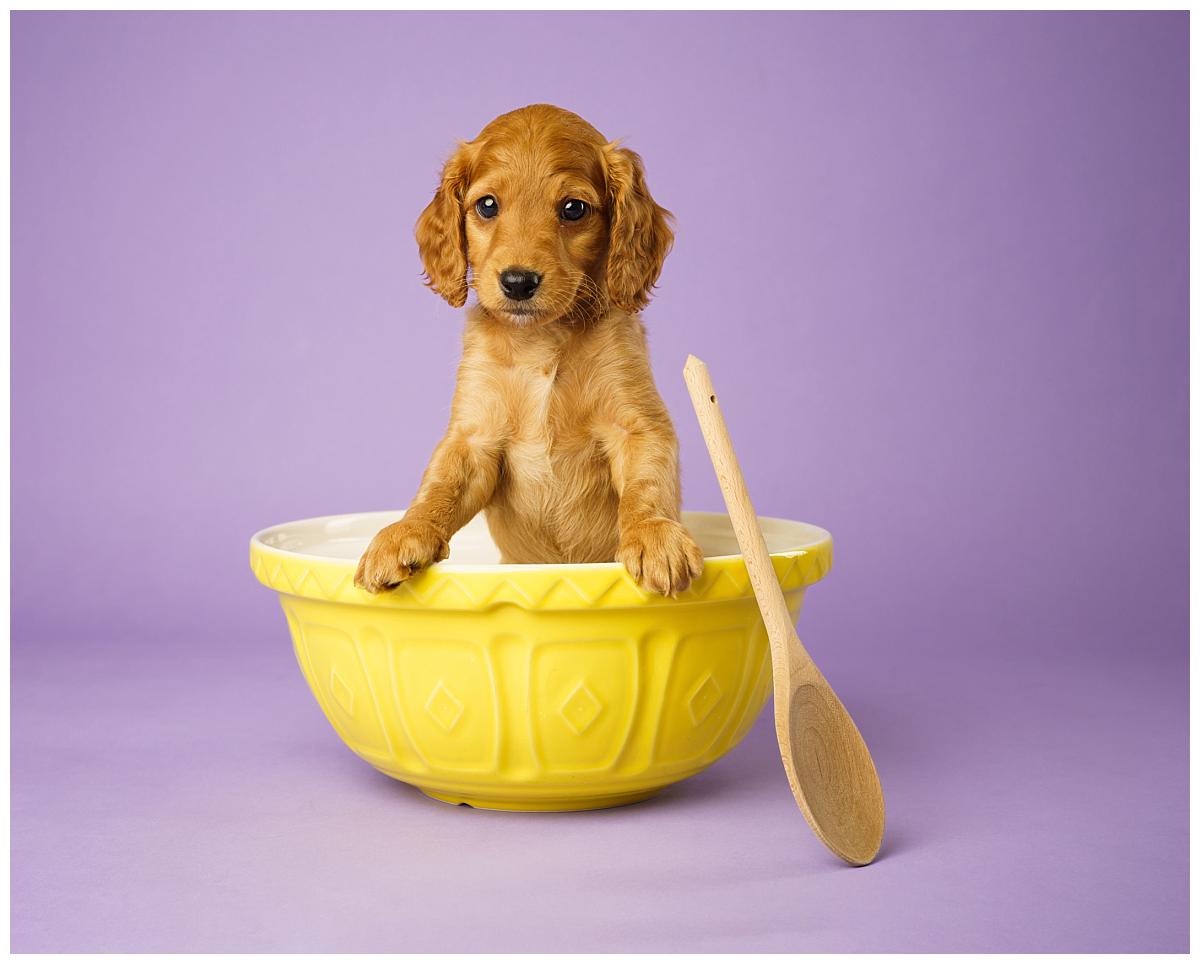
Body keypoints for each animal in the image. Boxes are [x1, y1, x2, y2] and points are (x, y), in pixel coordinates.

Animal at [350, 109, 700, 600]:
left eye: (573, 209)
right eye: (487, 205)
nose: (518, 282)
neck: (542, 340)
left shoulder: (638, 426)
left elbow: (646, 484)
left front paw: (654, 537)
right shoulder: (474, 436)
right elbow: (439, 485)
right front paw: (404, 533)